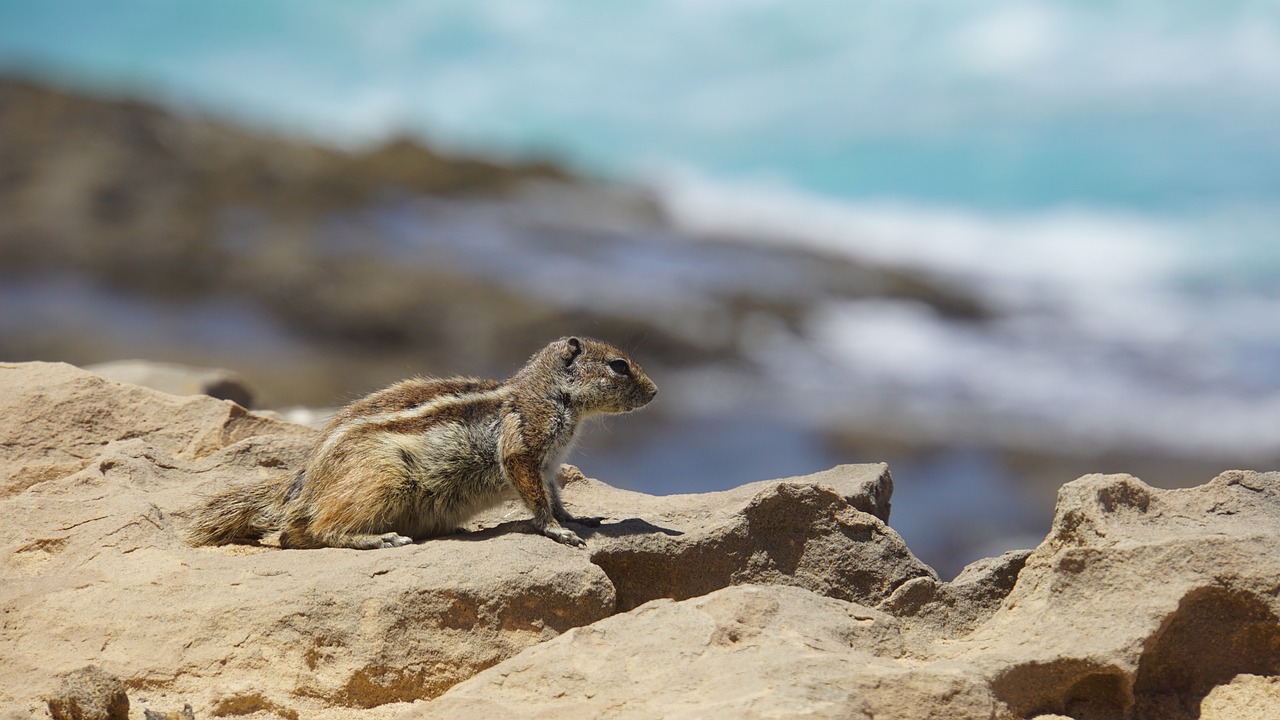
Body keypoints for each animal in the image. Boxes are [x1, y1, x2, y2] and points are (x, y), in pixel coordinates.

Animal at [186, 335, 660, 548]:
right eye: (619, 365)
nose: (656, 392)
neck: (549, 393)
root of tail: (302, 486)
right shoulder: (523, 447)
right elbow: (536, 500)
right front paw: (557, 531)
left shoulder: (549, 466)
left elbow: (556, 496)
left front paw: (579, 519)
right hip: (377, 483)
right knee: (316, 529)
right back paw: (376, 540)